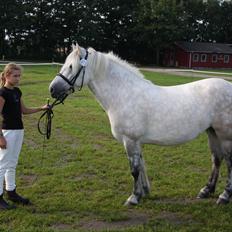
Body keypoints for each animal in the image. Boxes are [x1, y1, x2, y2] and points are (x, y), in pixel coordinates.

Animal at [50, 44, 232, 206]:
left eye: (72, 66)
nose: (52, 89)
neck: (124, 94)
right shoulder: (136, 142)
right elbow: (142, 166)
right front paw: (144, 192)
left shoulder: (130, 140)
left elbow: (135, 169)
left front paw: (133, 197)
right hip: (212, 132)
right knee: (217, 159)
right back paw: (206, 191)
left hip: (225, 136)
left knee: (228, 161)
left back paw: (224, 196)